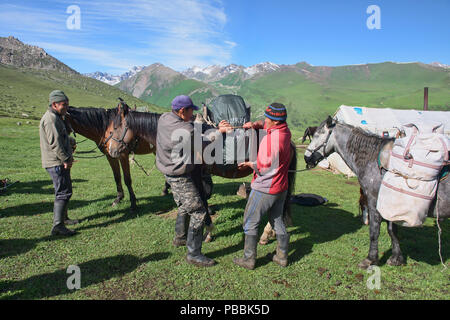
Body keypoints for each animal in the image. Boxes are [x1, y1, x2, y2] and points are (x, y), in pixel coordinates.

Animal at [103, 102, 298, 242]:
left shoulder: (196, 175)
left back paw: (266, 233)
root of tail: (289, 141)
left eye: (115, 129)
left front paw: (209, 231)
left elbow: (202, 201)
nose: (111, 150)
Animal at [304, 116, 448, 268]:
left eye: (318, 135)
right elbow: (392, 231)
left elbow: (374, 230)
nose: (307, 158)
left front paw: (370, 259)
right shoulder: (389, 206)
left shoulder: (374, 201)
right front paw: (397, 259)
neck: (371, 160)